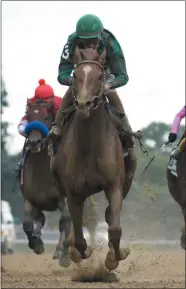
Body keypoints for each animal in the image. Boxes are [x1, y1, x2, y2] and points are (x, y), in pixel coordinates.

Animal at [19, 99, 71, 266]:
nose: (34, 142)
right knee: (40, 219)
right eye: (29, 116)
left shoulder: (63, 198)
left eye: (46, 117)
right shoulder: (30, 200)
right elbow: (27, 223)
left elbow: (66, 220)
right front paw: (37, 244)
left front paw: (64, 256)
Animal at [50, 47, 137, 270]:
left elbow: (114, 228)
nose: (83, 104)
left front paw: (114, 258)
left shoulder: (114, 185)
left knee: (108, 215)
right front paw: (81, 251)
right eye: (75, 75)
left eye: (99, 76)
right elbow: (80, 237)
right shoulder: (73, 193)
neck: (89, 146)